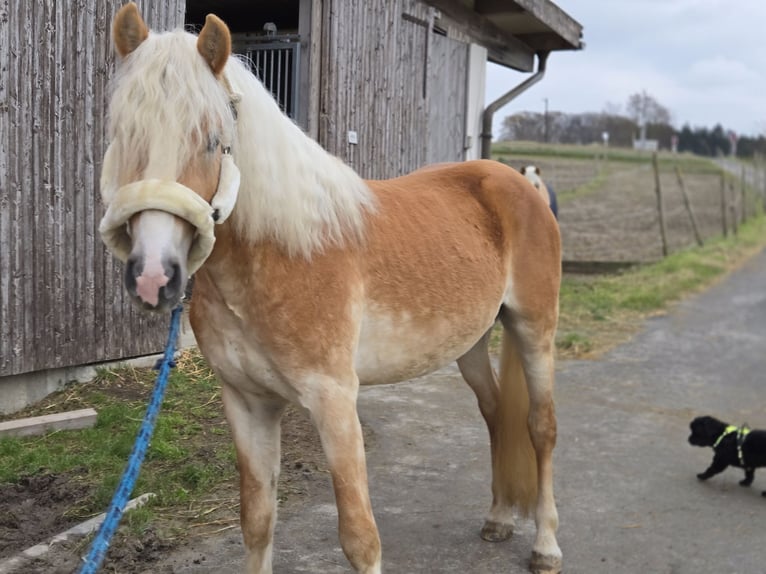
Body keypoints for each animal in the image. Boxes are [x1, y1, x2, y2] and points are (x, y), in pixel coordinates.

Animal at [97, 5, 564, 574]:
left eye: (212, 139)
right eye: (123, 132)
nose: (153, 276)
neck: (281, 256)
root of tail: (518, 183)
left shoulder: (335, 399)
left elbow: (360, 537)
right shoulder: (247, 401)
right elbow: (257, 520)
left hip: (535, 329)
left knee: (540, 427)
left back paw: (546, 545)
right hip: (470, 342)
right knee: (496, 412)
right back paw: (497, 518)